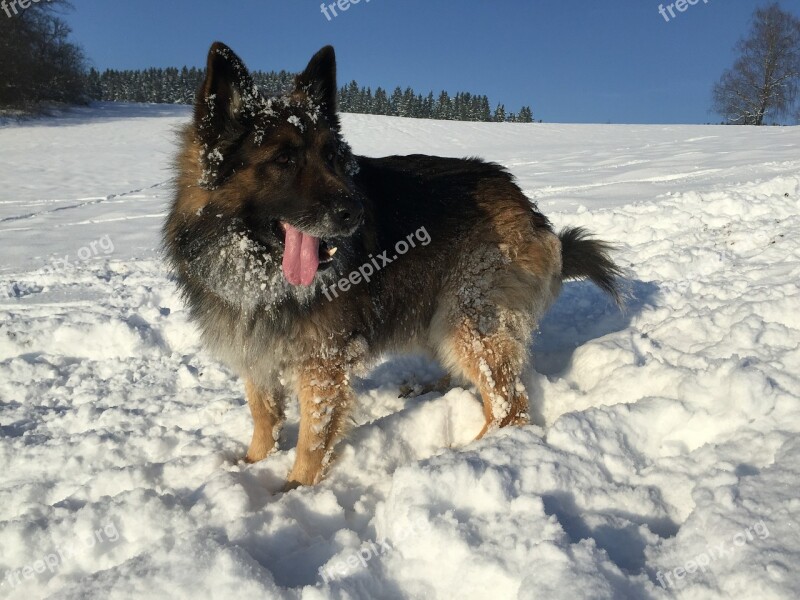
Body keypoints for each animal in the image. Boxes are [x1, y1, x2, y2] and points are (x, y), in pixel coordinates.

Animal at [164, 43, 624, 492]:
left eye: (331, 157)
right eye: (283, 160)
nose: (354, 212)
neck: (259, 270)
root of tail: (527, 205)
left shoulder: (321, 364)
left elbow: (313, 440)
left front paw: (293, 492)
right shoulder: (255, 350)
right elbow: (264, 417)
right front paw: (252, 464)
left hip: (467, 315)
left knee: (510, 406)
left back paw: (465, 454)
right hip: (440, 315)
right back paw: (431, 390)